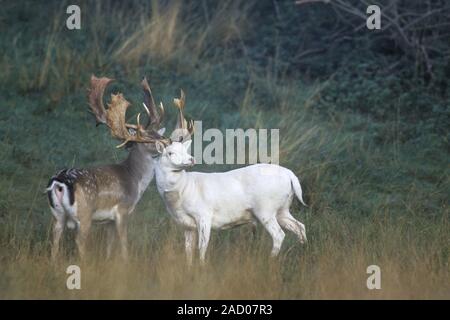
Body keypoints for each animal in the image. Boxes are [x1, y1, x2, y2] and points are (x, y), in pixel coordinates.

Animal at [45, 75, 170, 260]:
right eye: (149, 139)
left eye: (158, 134)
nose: (169, 141)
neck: (134, 179)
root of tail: (59, 182)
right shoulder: (122, 210)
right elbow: (124, 244)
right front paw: (125, 263)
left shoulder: (108, 221)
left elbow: (109, 245)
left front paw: (108, 261)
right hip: (84, 212)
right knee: (79, 241)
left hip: (57, 215)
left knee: (55, 241)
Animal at [153, 92, 308, 264]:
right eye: (170, 152)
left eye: (185, 150)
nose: (191, 159)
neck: (183, 193)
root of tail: (291, 175)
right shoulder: (186, 226)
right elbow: (188, 252)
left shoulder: (204, 215)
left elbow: (202, 249)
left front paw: (201, 268)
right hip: (282, 209)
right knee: (300, 226)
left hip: (266, 208)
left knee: (279, 235)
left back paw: (269, 262)